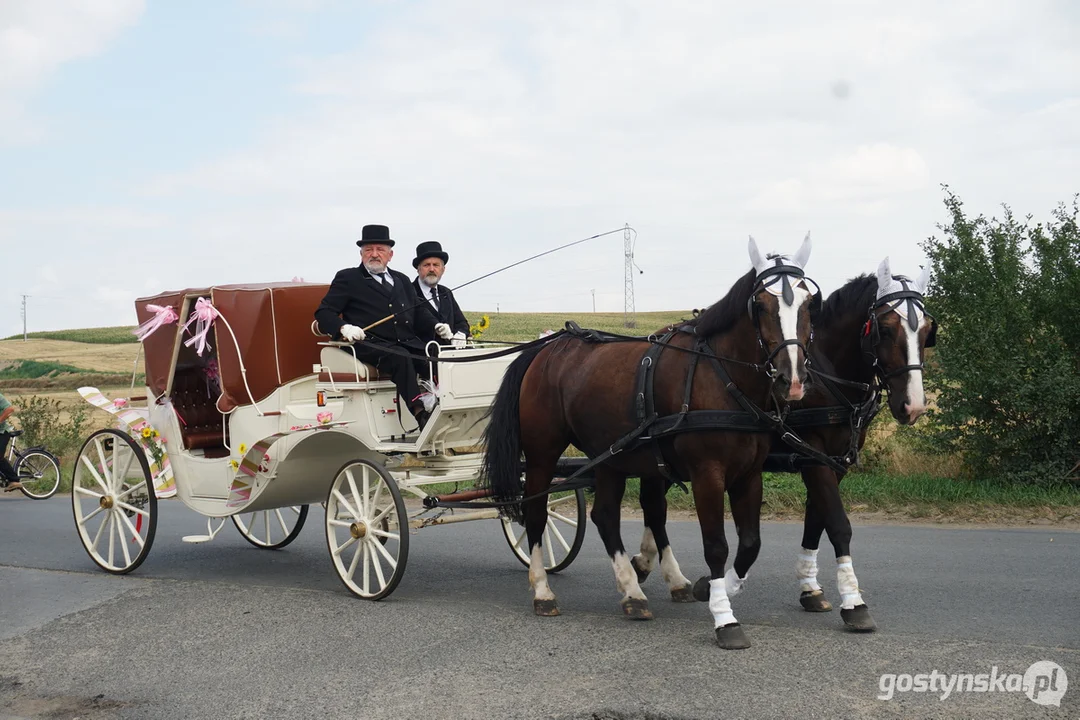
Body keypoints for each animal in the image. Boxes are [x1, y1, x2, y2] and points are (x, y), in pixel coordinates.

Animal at [483, 235, 816, 647]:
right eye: (761, 304)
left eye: (809, 302)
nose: (793, 380)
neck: (720, 376)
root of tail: (543, 348)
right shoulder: (708, 475)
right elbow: (716, 545)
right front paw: (724, 617)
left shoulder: (748, 475)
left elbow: (750, 544)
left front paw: (713, 588)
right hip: (543, 454)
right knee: (537, 513)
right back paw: (543, 589)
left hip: (610, 454)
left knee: (605, 516)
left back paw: (632, 592)